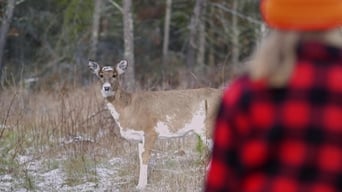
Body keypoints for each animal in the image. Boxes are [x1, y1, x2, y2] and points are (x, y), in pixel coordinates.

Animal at [87, 59, 222, 189]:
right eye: (100, 75)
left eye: (114, 75)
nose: (106, 88)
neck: (128, 107)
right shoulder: (140, 137)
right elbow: (140, 157)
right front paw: (139, 184)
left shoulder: (150, 131)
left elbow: (146, 157)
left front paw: (142, 186)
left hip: (209, 127)